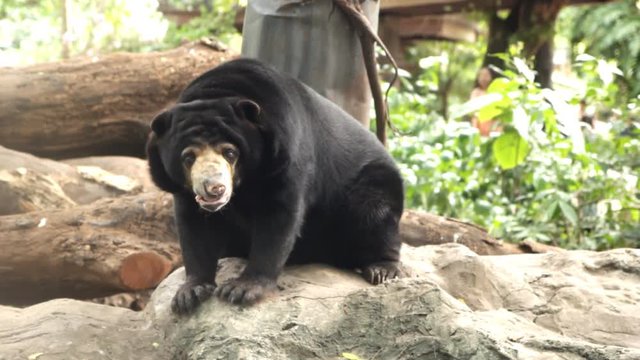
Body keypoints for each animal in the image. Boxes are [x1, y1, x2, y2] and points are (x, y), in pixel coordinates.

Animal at [148, 57, 402, 314]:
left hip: (371, 182)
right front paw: (190, 293)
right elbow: (195, 226)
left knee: (373, 211)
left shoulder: (284, 153)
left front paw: (241, 289)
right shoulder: (184, 190)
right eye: (188, 157)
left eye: (230, 152)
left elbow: (278, 218)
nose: (214, 189)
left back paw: (381, 269)